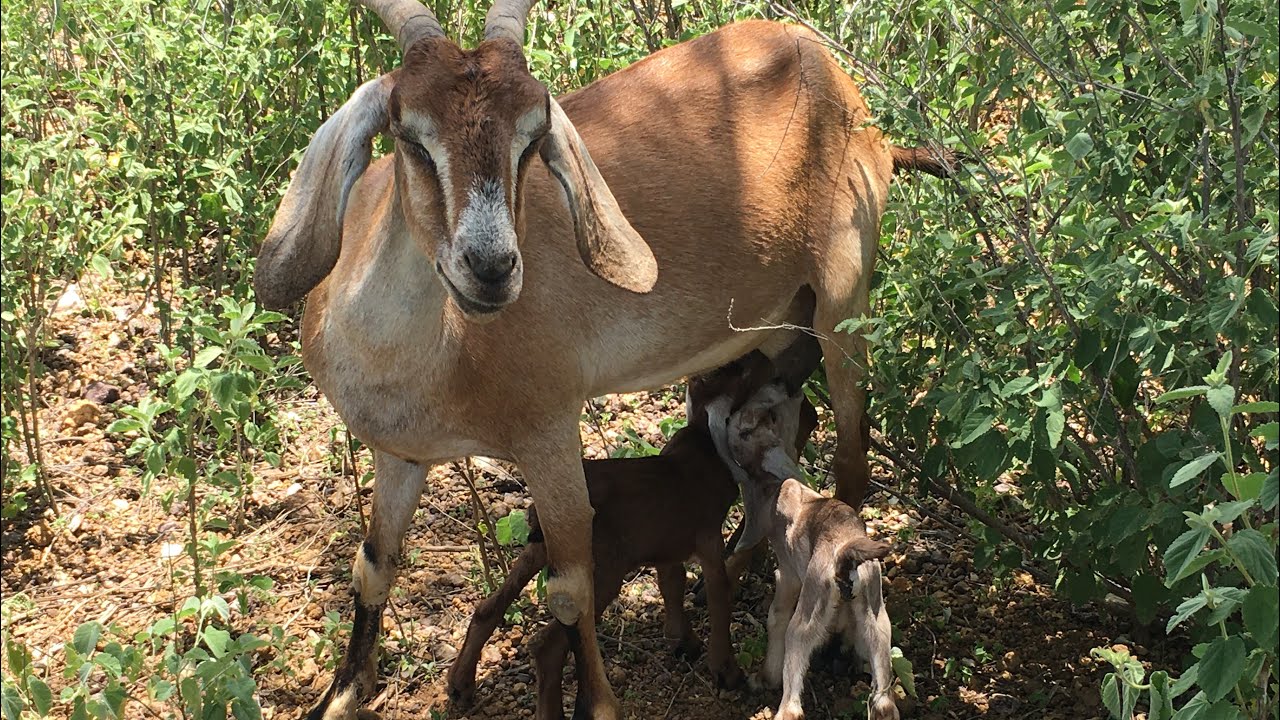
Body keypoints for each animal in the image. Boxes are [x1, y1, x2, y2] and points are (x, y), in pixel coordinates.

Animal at [712, 381, 898, 720]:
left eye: (746, 432)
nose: (732, 415)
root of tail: (846, 557)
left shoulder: (788, 575)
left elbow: (776, 616)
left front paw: (764, 678)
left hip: (808, 614)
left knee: (793, 703)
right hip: (877, 617)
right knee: (884, 701)